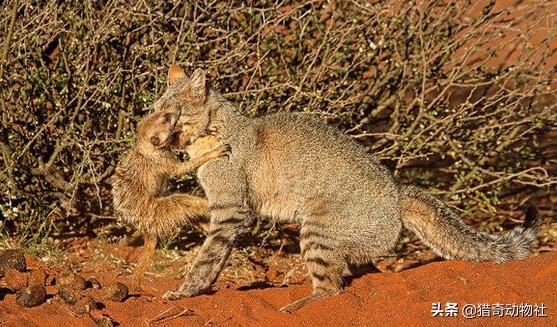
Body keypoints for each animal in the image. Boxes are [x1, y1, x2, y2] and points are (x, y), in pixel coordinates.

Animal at [156, 64, 540, 312]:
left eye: (170, 114)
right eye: (157, 110)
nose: (154, 129)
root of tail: (397, 192)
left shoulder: (230, 211)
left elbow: (208, 256)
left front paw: (186, 291)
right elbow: (214, 254)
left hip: (317, 230)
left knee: (332, 287)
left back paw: (297, 305)